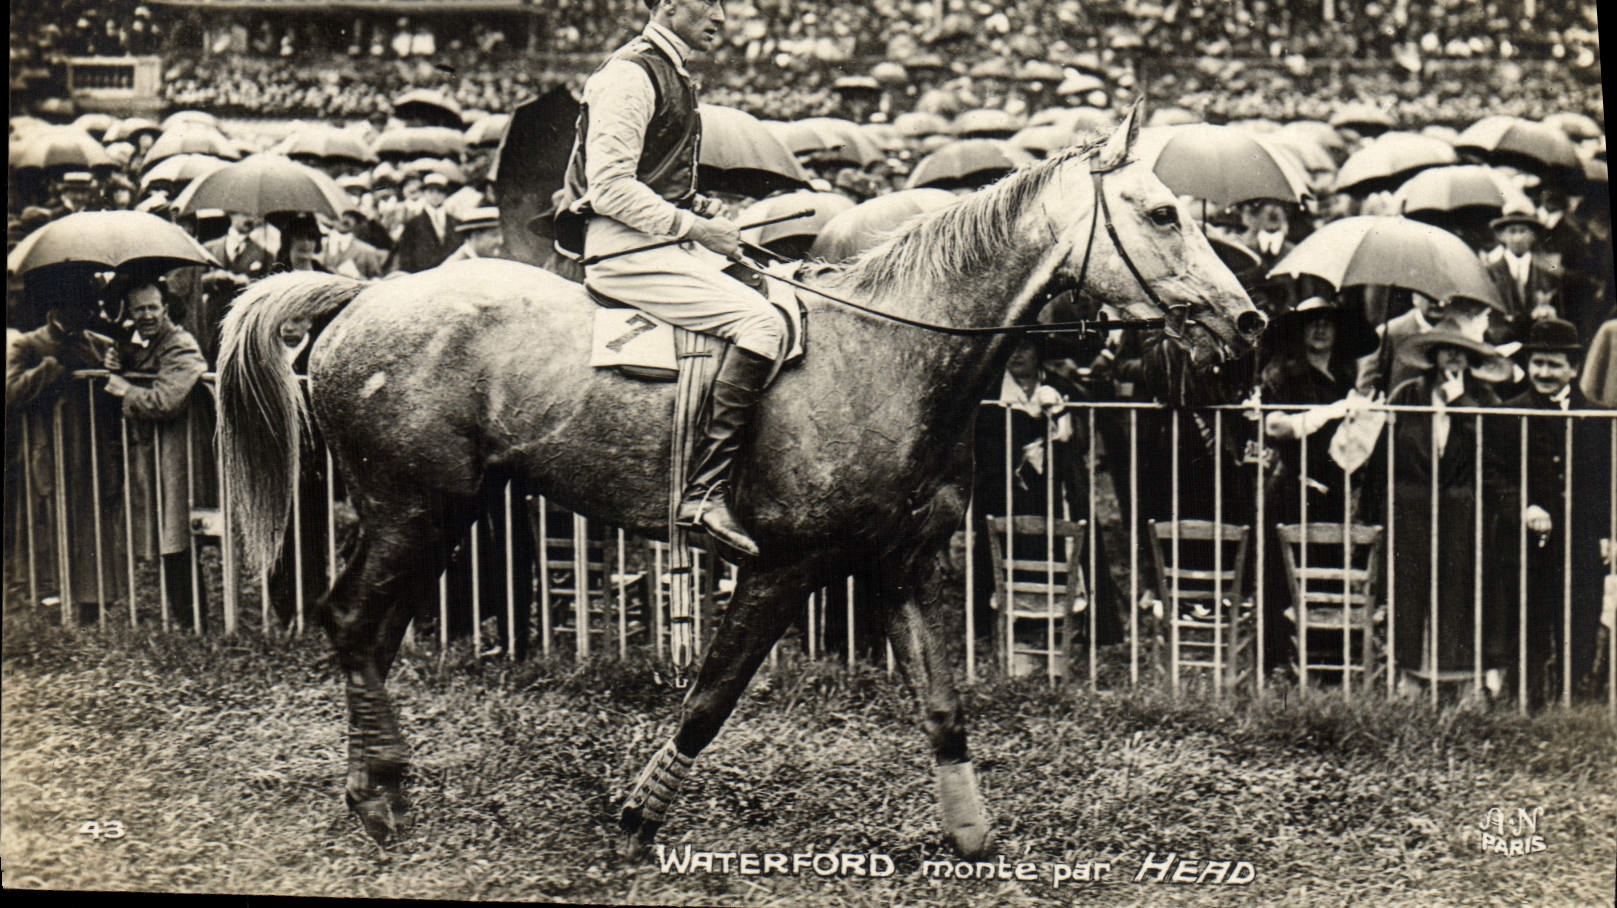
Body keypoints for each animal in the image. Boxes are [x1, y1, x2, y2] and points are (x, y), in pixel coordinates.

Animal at [215, 108, 1265, 859]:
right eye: (1162, 213)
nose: (1248, 321)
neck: (885, 352)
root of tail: (361, 295)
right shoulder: (780, 568)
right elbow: (711, 696)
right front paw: (637, 819)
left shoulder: (907, 564)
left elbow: (941, 707)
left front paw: (971, 836)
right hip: (411, 509)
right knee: (353, 621)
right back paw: (380, 796)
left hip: (437, 516)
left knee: (371, 632)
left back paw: (385, 785)